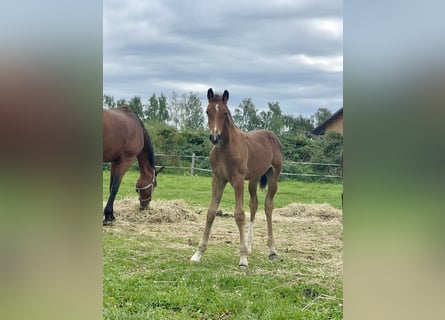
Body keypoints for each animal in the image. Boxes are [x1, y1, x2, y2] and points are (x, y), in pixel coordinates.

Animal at [190, 88, 280, 268]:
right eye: (207, 111)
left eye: (225, 113)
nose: (214, 137)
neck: (225, 148)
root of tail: (272, 135)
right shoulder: (218, 179)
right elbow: (211, 212)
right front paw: (198, 253)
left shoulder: (237, 181)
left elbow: (239, 214)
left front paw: (243, 259)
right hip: (253, 179)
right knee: (254, 204)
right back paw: (250, 246)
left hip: (274, 176)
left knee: (268, 206)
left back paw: (272, 251)